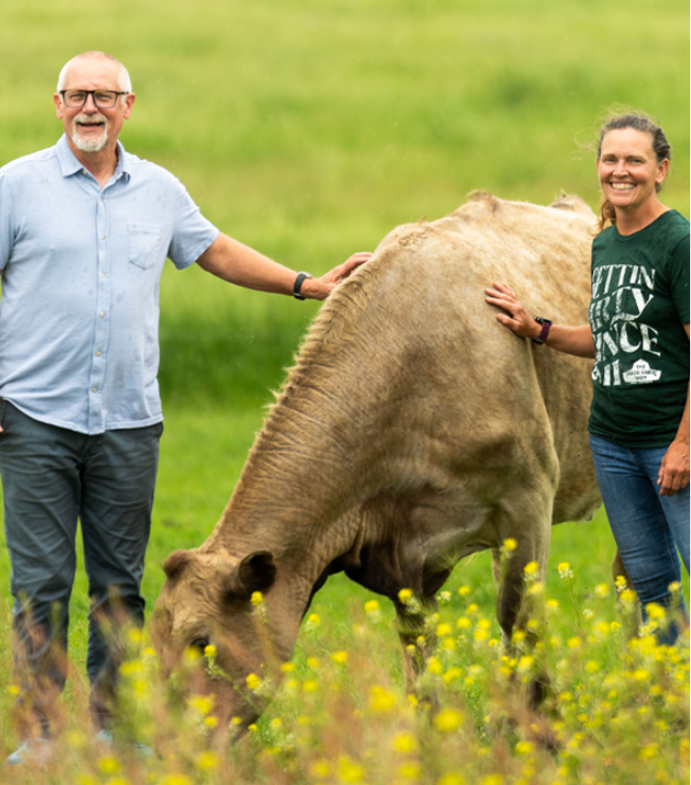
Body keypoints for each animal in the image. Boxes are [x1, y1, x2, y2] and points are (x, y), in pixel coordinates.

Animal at [151, 192, 602, 731]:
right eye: (154, 644)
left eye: (201, 643)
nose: (169, 738)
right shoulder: (400, 556)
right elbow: (418, 650)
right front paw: (431, 734)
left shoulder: (528, 505)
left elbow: (519, 620)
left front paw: (536, 732)